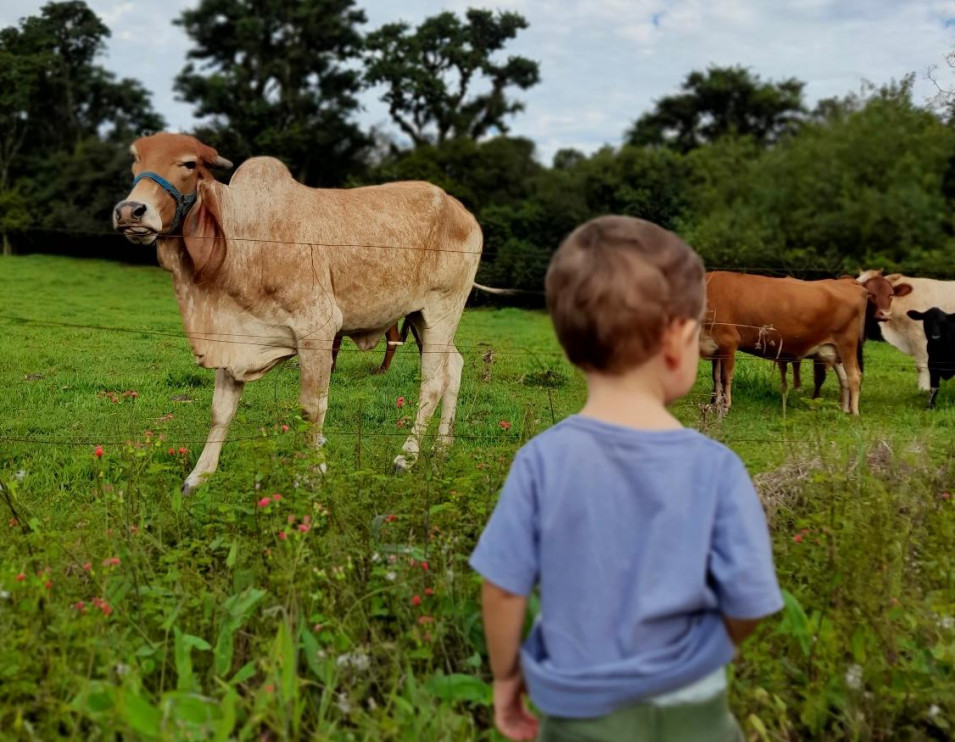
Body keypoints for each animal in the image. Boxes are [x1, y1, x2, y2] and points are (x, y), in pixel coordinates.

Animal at [115, 134, 482, 494]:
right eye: (136, 158)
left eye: (189, 163)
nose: (130, 211)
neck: (241, 239)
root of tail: (461, 211)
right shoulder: (233, 336)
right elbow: (220, 411)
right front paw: (198, 477)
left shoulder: (318, 330)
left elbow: (311, 409)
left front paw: (312, 475)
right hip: (422, 319)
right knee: (455, 367)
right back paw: (441, 451)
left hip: (441, 310)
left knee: (432, 384)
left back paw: (406, 458)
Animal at [704, 274, 872, 416]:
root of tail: (849, 283)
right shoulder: (716, 347)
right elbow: (716, 377)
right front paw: (713, 405)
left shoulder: (729, 340)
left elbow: (725, 377)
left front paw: (725, 406)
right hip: (833, 350)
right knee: (844, 378)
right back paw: (844, 409)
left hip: (847, 344)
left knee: (854, 376)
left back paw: (854, 413)